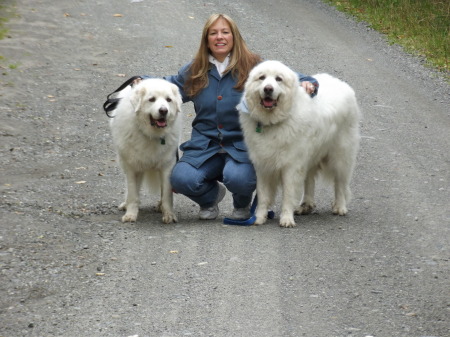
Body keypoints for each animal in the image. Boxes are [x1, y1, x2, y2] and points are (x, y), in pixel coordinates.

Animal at [110, 77, 182, 222]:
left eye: (168, 99)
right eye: (152, 99)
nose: (163, 110)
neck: (151, 134)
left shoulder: (167, 165)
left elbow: (167, 194)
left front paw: (169, 215)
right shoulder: (132, 166)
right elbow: (133, 192)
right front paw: (131, 214)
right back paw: (126, 204)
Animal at [239, 60, 362, 228]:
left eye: (278, 79)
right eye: (262, 77)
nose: (268, 89)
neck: (275, 122)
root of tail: (342, 83)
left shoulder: (291, 166)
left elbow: (288, 194)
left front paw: (286, 219)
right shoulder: (263, 166)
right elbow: (263, 195)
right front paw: (258, 218)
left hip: (340, 156)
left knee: (340, 183)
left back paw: (340, 207)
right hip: (310, 156)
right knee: (310, 179)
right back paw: (306, 205)